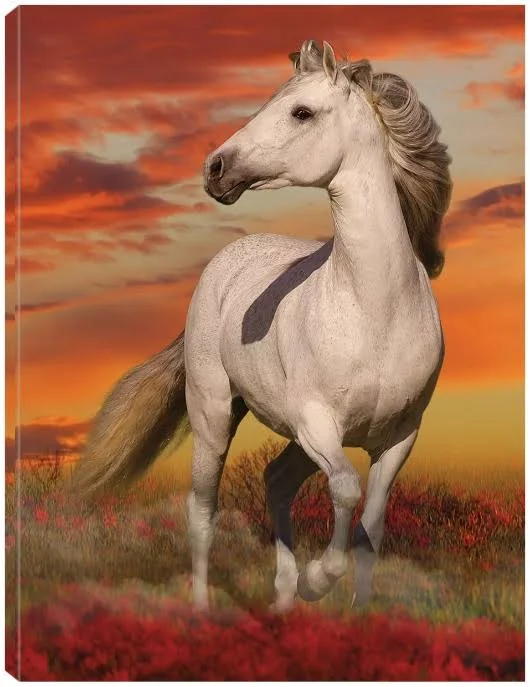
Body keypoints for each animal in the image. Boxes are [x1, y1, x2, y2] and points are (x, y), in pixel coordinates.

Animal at [72, 39, 452, 613]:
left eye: (301, 112)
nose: (215, 167)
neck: (375, 311)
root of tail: (223, 264)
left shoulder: (399, 436)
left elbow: (371, 525)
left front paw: (353, 611)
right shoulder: (318, 424)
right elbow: (345, 490)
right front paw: (319, 580)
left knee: (276, 481)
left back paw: (283, 602)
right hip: (214, 417)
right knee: (202, 511)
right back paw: (204, 611)